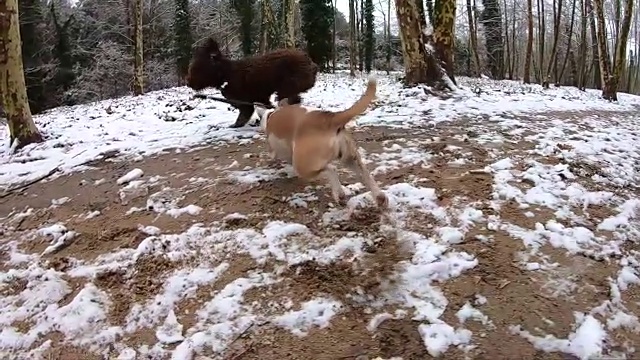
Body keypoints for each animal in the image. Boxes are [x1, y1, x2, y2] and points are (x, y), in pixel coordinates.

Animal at [254, 75, 384, 208]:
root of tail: (330, 119)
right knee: (364, 174)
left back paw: (339, 194)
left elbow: (274, 155)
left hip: (303, 165)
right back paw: (380, 198)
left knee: (331, 169)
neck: (271, 115)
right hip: (350, 157)